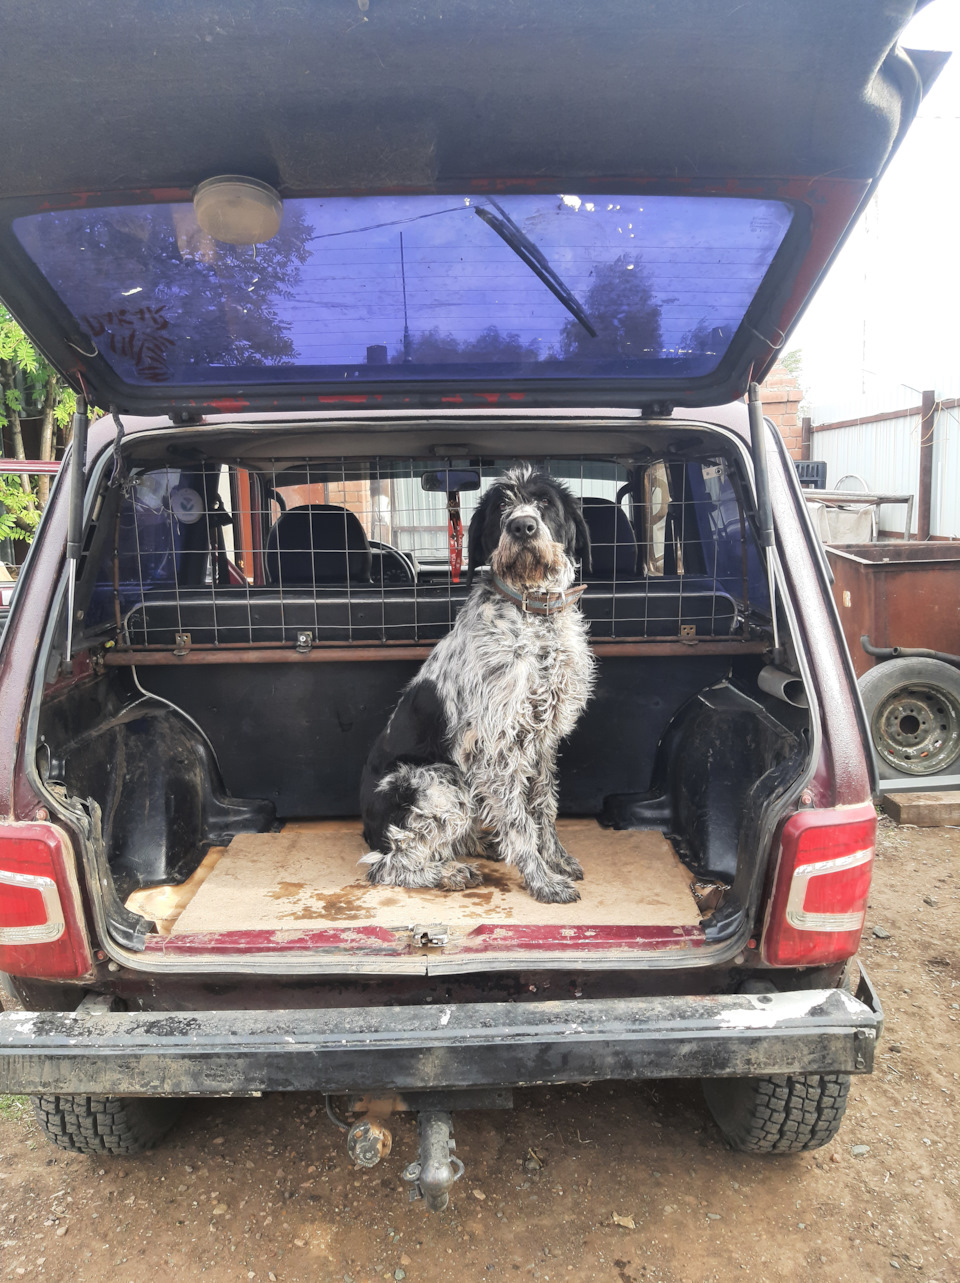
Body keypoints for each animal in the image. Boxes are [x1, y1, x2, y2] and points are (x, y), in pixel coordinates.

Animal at [359, 464, 592, 903]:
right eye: (501, 507)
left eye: (544, 502)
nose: (522, 527)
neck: (533, 616)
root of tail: (366, 825)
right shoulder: (497, 748)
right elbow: (520, 822)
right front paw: (542, 879)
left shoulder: (543, 739)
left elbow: (544, 807)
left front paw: (556, 859)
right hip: (439, 782)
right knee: (388, 866)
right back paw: (450, 873)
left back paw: (479, 846)